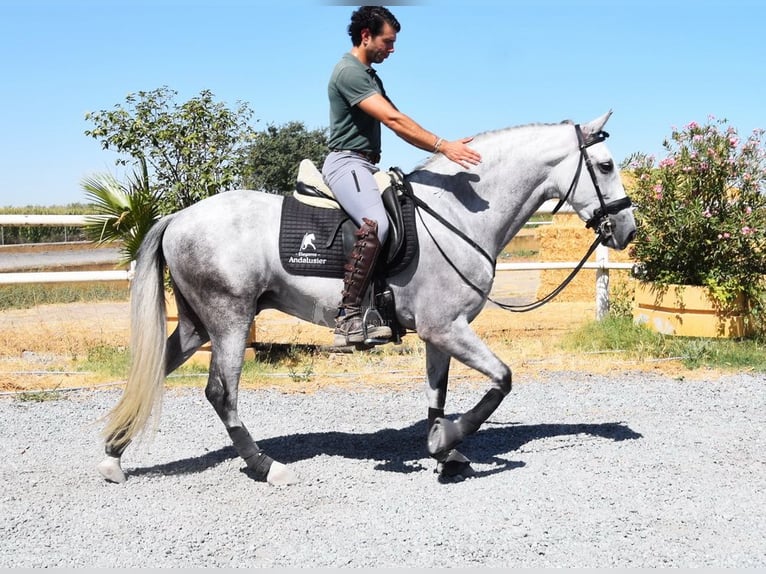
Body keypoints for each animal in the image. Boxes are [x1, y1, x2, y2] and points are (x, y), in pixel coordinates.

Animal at [96, 111, 636, 486]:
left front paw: (443, 448)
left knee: (158, 368)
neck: (457, 216)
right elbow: (502, 379)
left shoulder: (439, 333)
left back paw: (113, 456)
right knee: (221, 393)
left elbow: (437, 394)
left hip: (196, 324)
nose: (627, 231)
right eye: (606, 165)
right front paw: (449, 440)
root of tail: (177, 217)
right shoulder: (446, 327)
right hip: (229, 318)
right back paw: (267, 467)